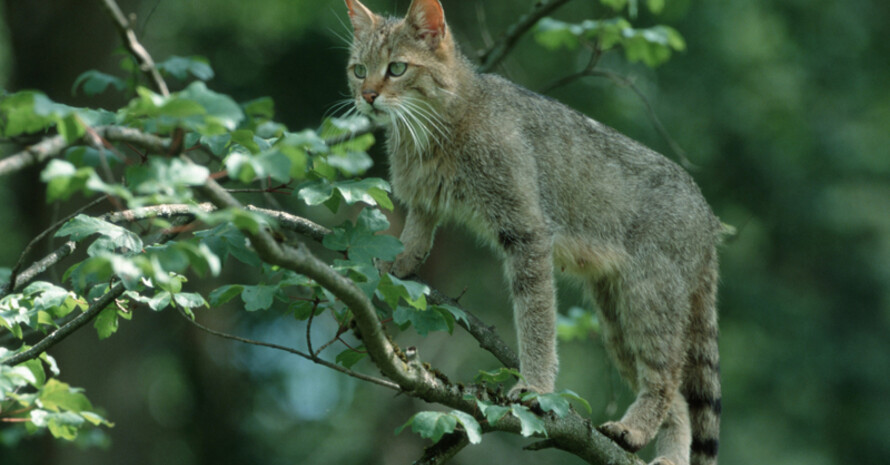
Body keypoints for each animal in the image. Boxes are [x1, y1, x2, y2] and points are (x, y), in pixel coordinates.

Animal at [342, 0, 720, 464]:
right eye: (359, 70)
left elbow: (535, 317)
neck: (428, 133)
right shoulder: (424, 201)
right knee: (681, 400)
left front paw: (536, 387)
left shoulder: (527, 231)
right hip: (616, 320)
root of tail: (707, 215)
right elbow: (415, 238)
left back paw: (634, 428)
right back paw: (662, 452)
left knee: (666, 380)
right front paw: (394, 266)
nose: (367, 95)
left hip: (648, 300)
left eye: (397, 68)